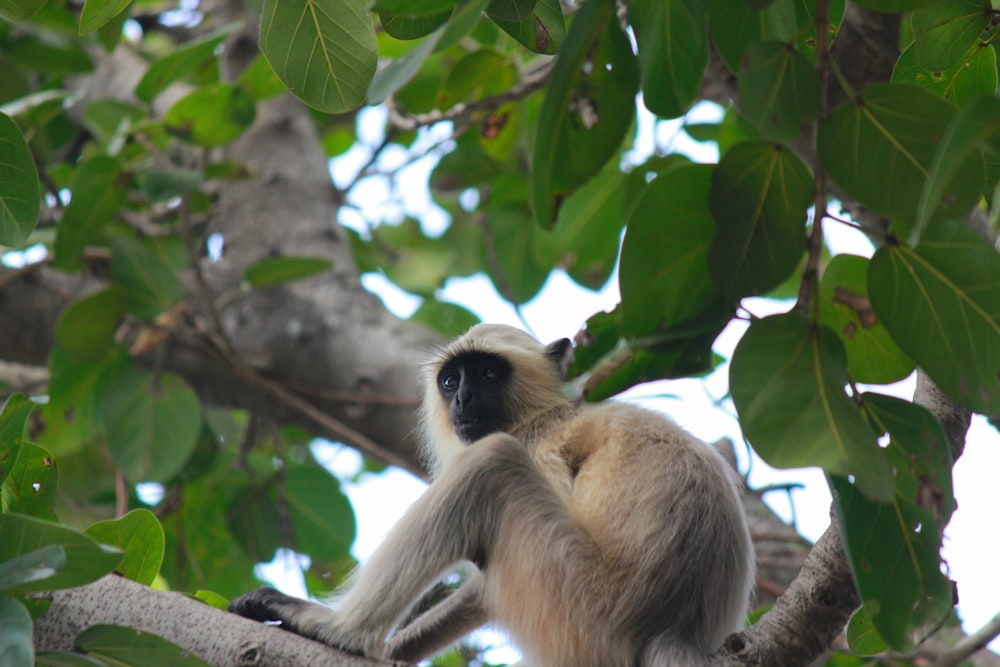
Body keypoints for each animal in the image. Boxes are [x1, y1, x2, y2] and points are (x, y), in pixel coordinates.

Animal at [230, 324, 752, 667]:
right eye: (450, 380)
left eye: (485, 374)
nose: (461, 399)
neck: (542, 413)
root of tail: (676, 627)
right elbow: (479, 592)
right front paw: (398, 651)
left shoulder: (540, 445)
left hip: (582, 602)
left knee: (491, 463)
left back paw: (341, 632)